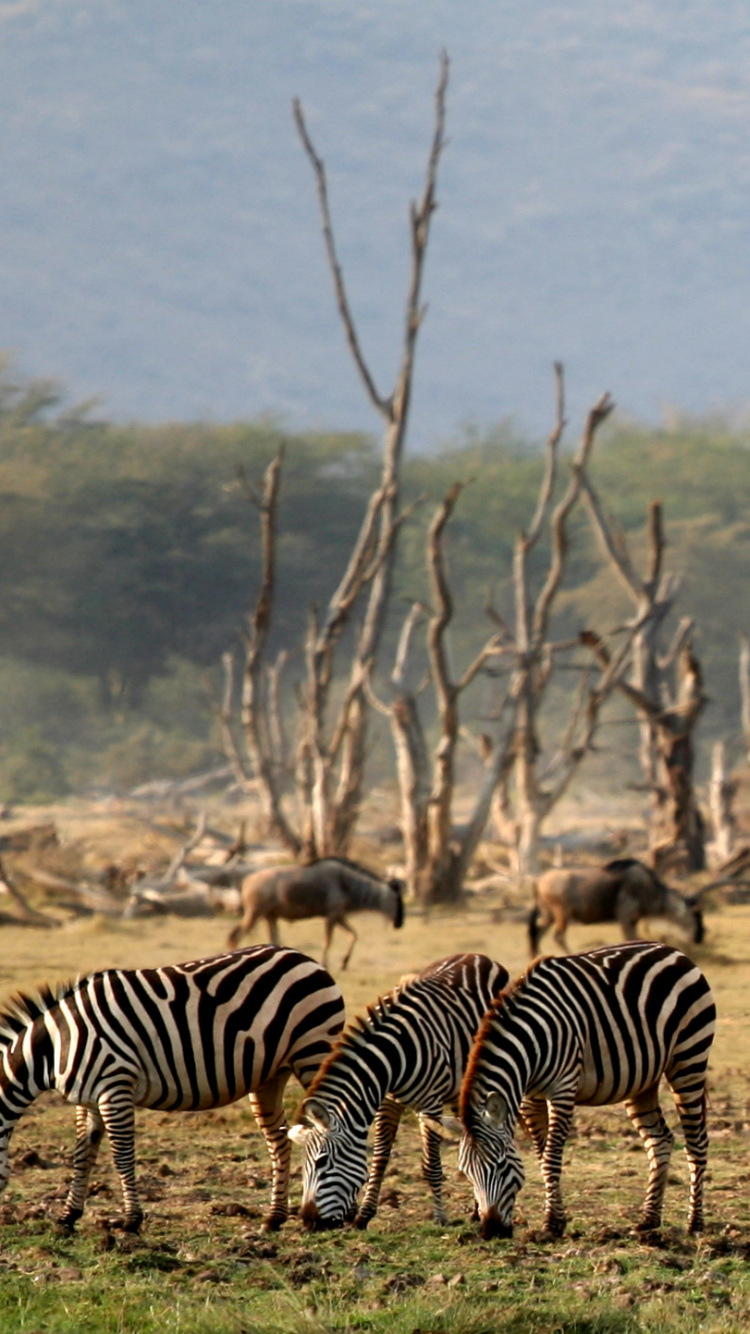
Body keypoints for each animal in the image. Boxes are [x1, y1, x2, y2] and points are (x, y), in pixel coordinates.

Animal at [0, 944, 345, 1234]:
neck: (55, 1045)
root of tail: (305, 958)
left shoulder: (114, 1086)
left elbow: (122, 1155)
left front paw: (131, 1221)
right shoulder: (88, 1098)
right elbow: (82, 1154)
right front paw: (68, 1217)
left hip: (314, 1053)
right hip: (270, 1076)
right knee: (279, 1142)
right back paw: (273, 1219)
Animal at [227, 857, 405, 970]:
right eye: (396, 899)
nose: (399, 923)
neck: (347, 882)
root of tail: (247, 881)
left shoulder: (339, 916)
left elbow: (353, 935)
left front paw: (344, 963)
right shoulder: (332, 916)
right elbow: (327, 941)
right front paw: (326, 964)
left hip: (270, 917)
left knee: (272, 940)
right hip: (254, 914)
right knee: (235, 935)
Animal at [288, 953, 510, 1230]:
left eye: (322, 1162)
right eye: (303, 1165)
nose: (308, 1221)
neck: (393, 1055)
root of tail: (477, 955)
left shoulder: (430, 1103)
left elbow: (431, 1165)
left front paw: (440, 1217)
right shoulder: (387, 1100)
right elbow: (380, 1158)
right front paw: (364, 1216)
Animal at [440, 942, 715, 1240]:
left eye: (502, 1165)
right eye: (466, 1172)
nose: (491, 1231)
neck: (530, 1043)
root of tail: (672, 950)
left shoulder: (562, 1088)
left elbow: (551, 1157)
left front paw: (551, 1224)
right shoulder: (530, 1098)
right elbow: (542, 1157)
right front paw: (557, 1220)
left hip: (689, 1058)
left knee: (696, 1142)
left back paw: (695, 1224)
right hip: (643, 1078)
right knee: (660, 1139)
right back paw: (649, 1219)